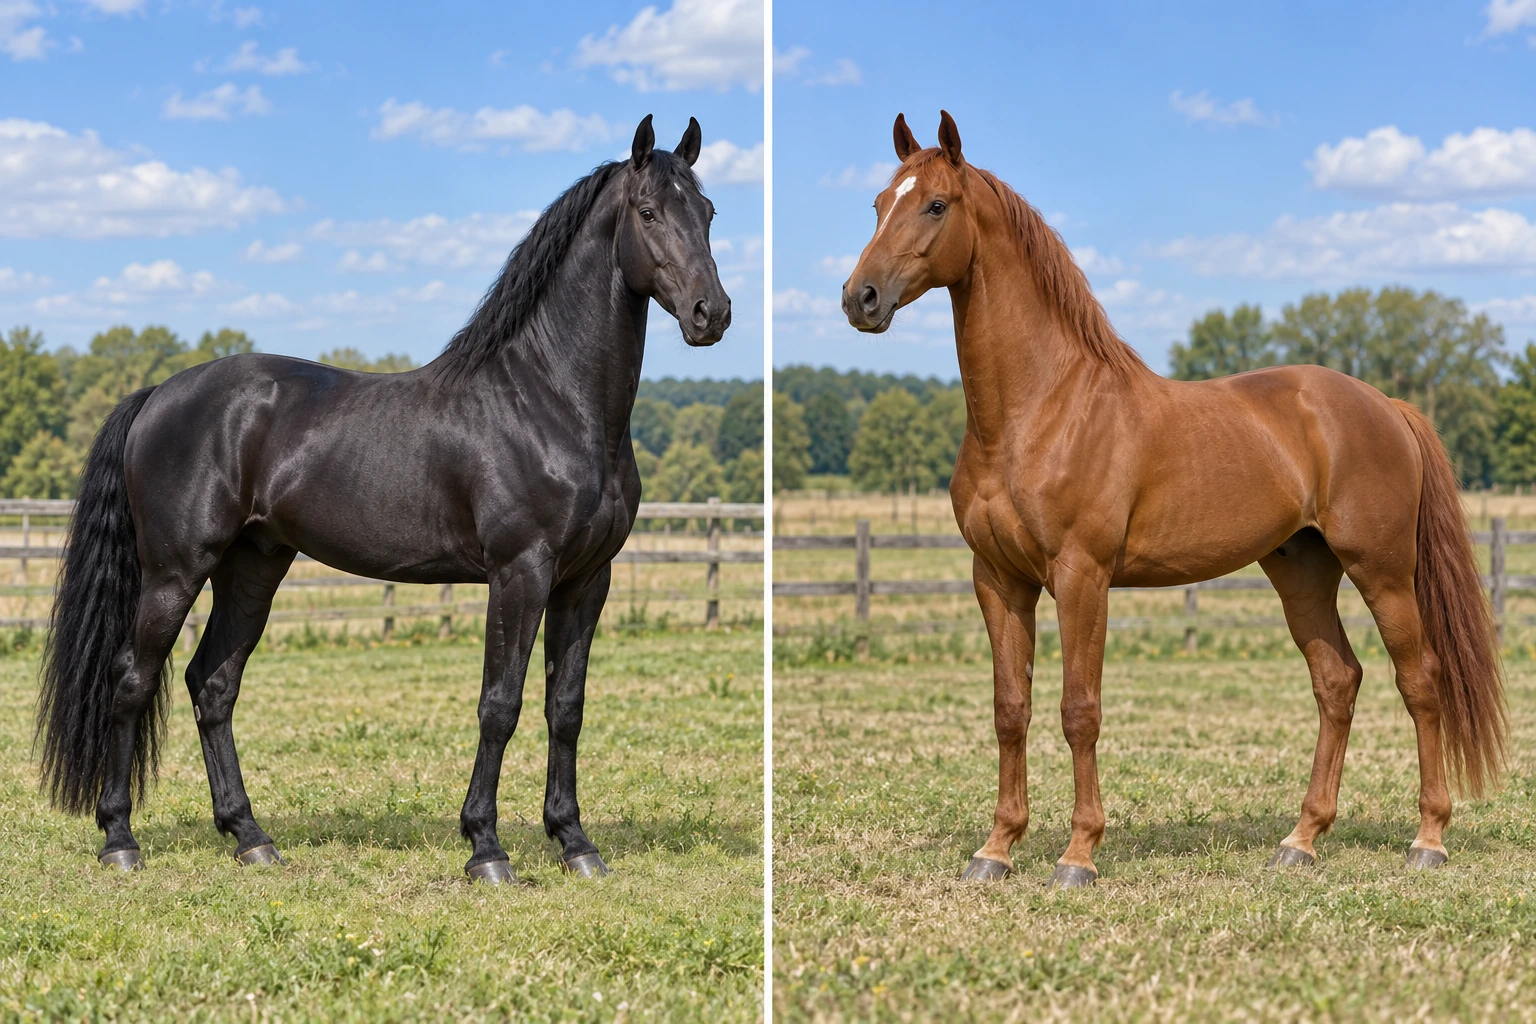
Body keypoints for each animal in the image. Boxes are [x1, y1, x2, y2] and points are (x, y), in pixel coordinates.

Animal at [37, 114, 731, 885]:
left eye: (707, 212)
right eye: (649, 212)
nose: (712, 314)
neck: (547, 400)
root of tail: (159, 393)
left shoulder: (586, 581)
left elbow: (566, 708)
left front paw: (575, 843)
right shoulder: (519, 574)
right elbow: (500, 705)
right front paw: (486, 848)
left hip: (253, 566)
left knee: (211, 685)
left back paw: (251, 837)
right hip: (174, 572)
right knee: (132, 681)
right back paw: (120, 840)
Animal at [841, 111, 1505, 888]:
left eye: (936, 205)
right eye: (877, 205)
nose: (860, 299)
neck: (1039, 409)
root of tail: (1385, 405)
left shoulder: (1082, 577)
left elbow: (1079, 710)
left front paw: (1078, 854)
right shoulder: (999, 580)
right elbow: (1011, 709)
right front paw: (996, 849)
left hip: (1384, 571)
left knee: (1419, 680)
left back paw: (1428, 838)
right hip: (1302, 571)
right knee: (1338, 681)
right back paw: (1301, 839)